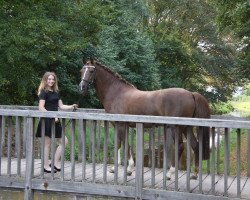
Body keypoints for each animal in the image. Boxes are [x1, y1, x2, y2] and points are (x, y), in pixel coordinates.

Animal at [79, 59, 210, 180]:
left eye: (91, 71)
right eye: (81, 71)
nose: (82, 87)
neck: (117, 93)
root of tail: (191, 94)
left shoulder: (120, 124)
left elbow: (124, 143)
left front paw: (127, 168)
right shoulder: (120, 125)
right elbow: (120, 143)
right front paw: (117, 168)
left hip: (176, 128)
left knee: (180, 146)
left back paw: (169, 173)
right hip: (187, 127)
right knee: (195, 145)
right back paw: (195, 174)